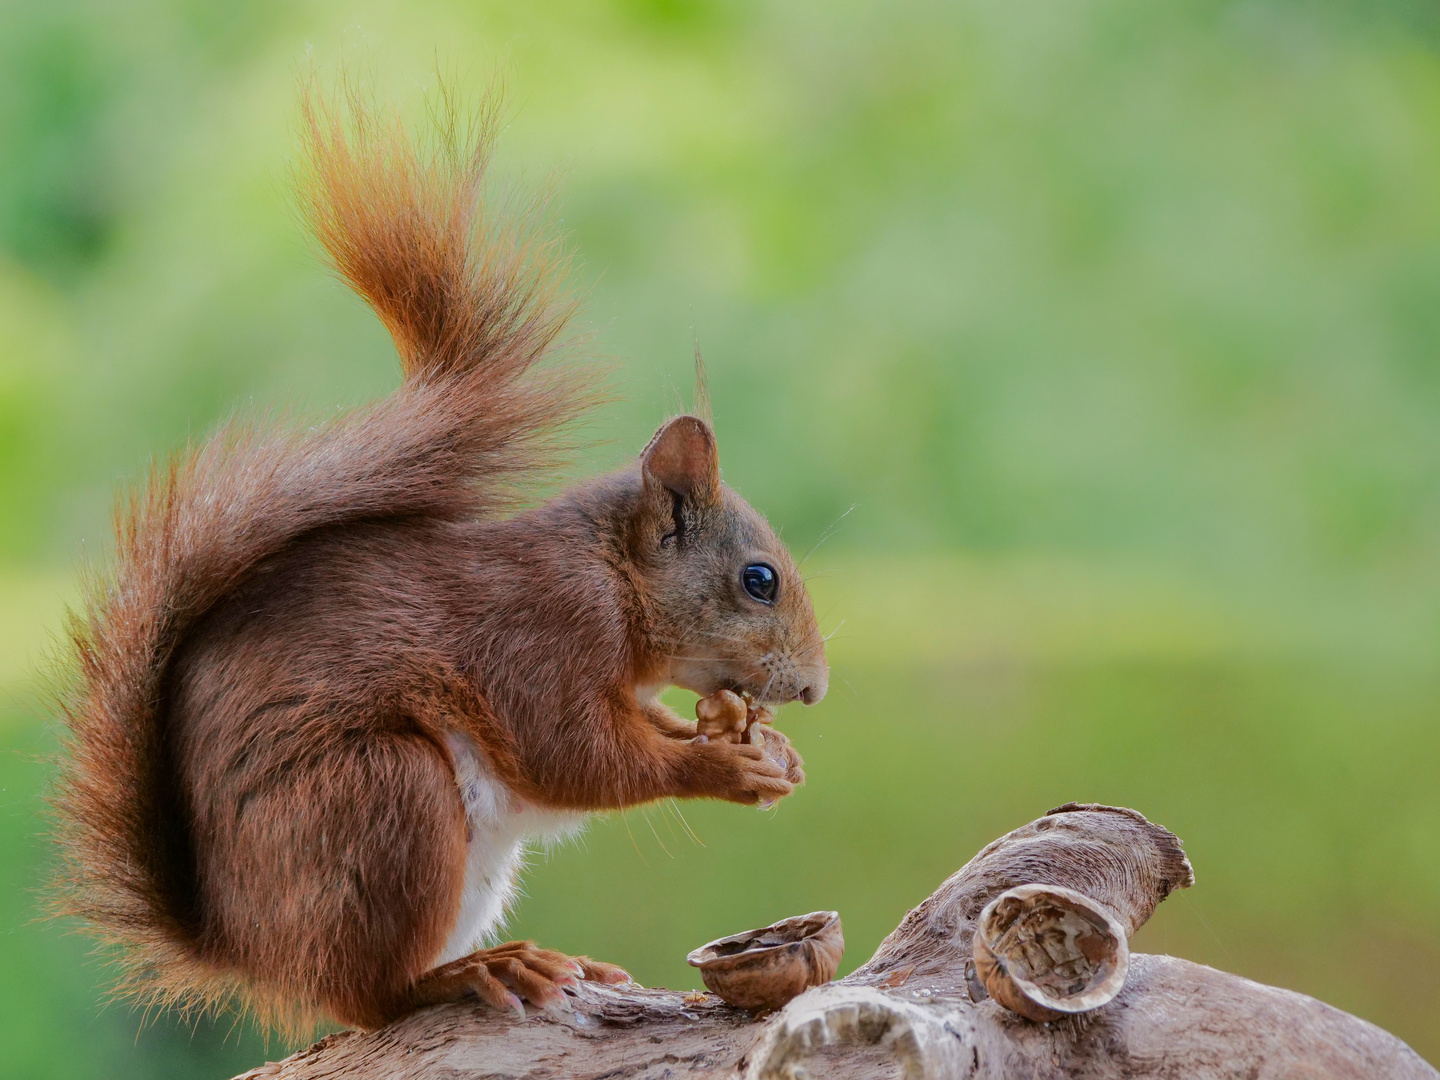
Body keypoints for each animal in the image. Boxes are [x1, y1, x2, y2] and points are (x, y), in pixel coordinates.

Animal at [50, 95, 829, 1042]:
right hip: (383, 797)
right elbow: (576, 757)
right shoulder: (539, 636)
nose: (816, 689)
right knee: (368, 996)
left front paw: (759, 747)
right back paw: (476, 971)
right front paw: (722, 768)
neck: (611, 578)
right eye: (759, 580)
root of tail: (242, 946)